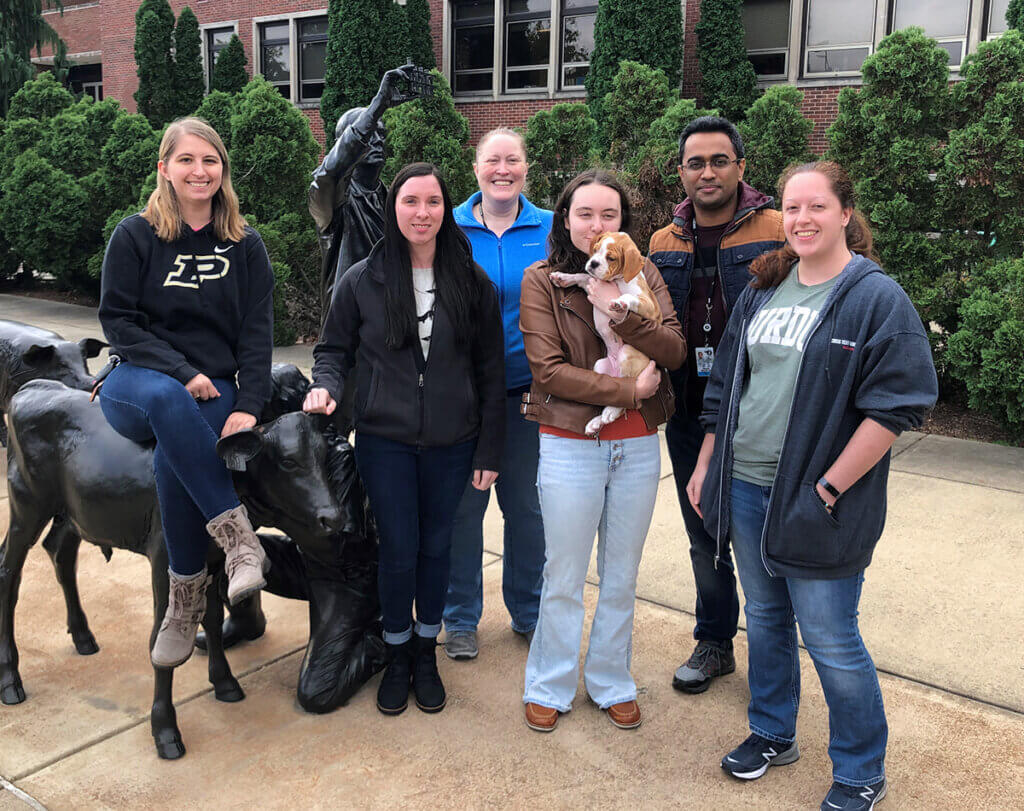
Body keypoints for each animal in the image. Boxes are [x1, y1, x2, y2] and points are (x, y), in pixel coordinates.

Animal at [552, 231, 663, 434]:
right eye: (595, 250)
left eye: (611, 258)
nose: (594, 263)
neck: (617, 279)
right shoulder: (591, 282)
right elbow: (583, 276)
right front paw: (562, 277)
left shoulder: (649, 308)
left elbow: (629, 296)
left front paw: (620, 301)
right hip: (600, 365)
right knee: (618, 391)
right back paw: (597, 422)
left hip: (627, 353)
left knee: (629, 395)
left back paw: (610, 411)